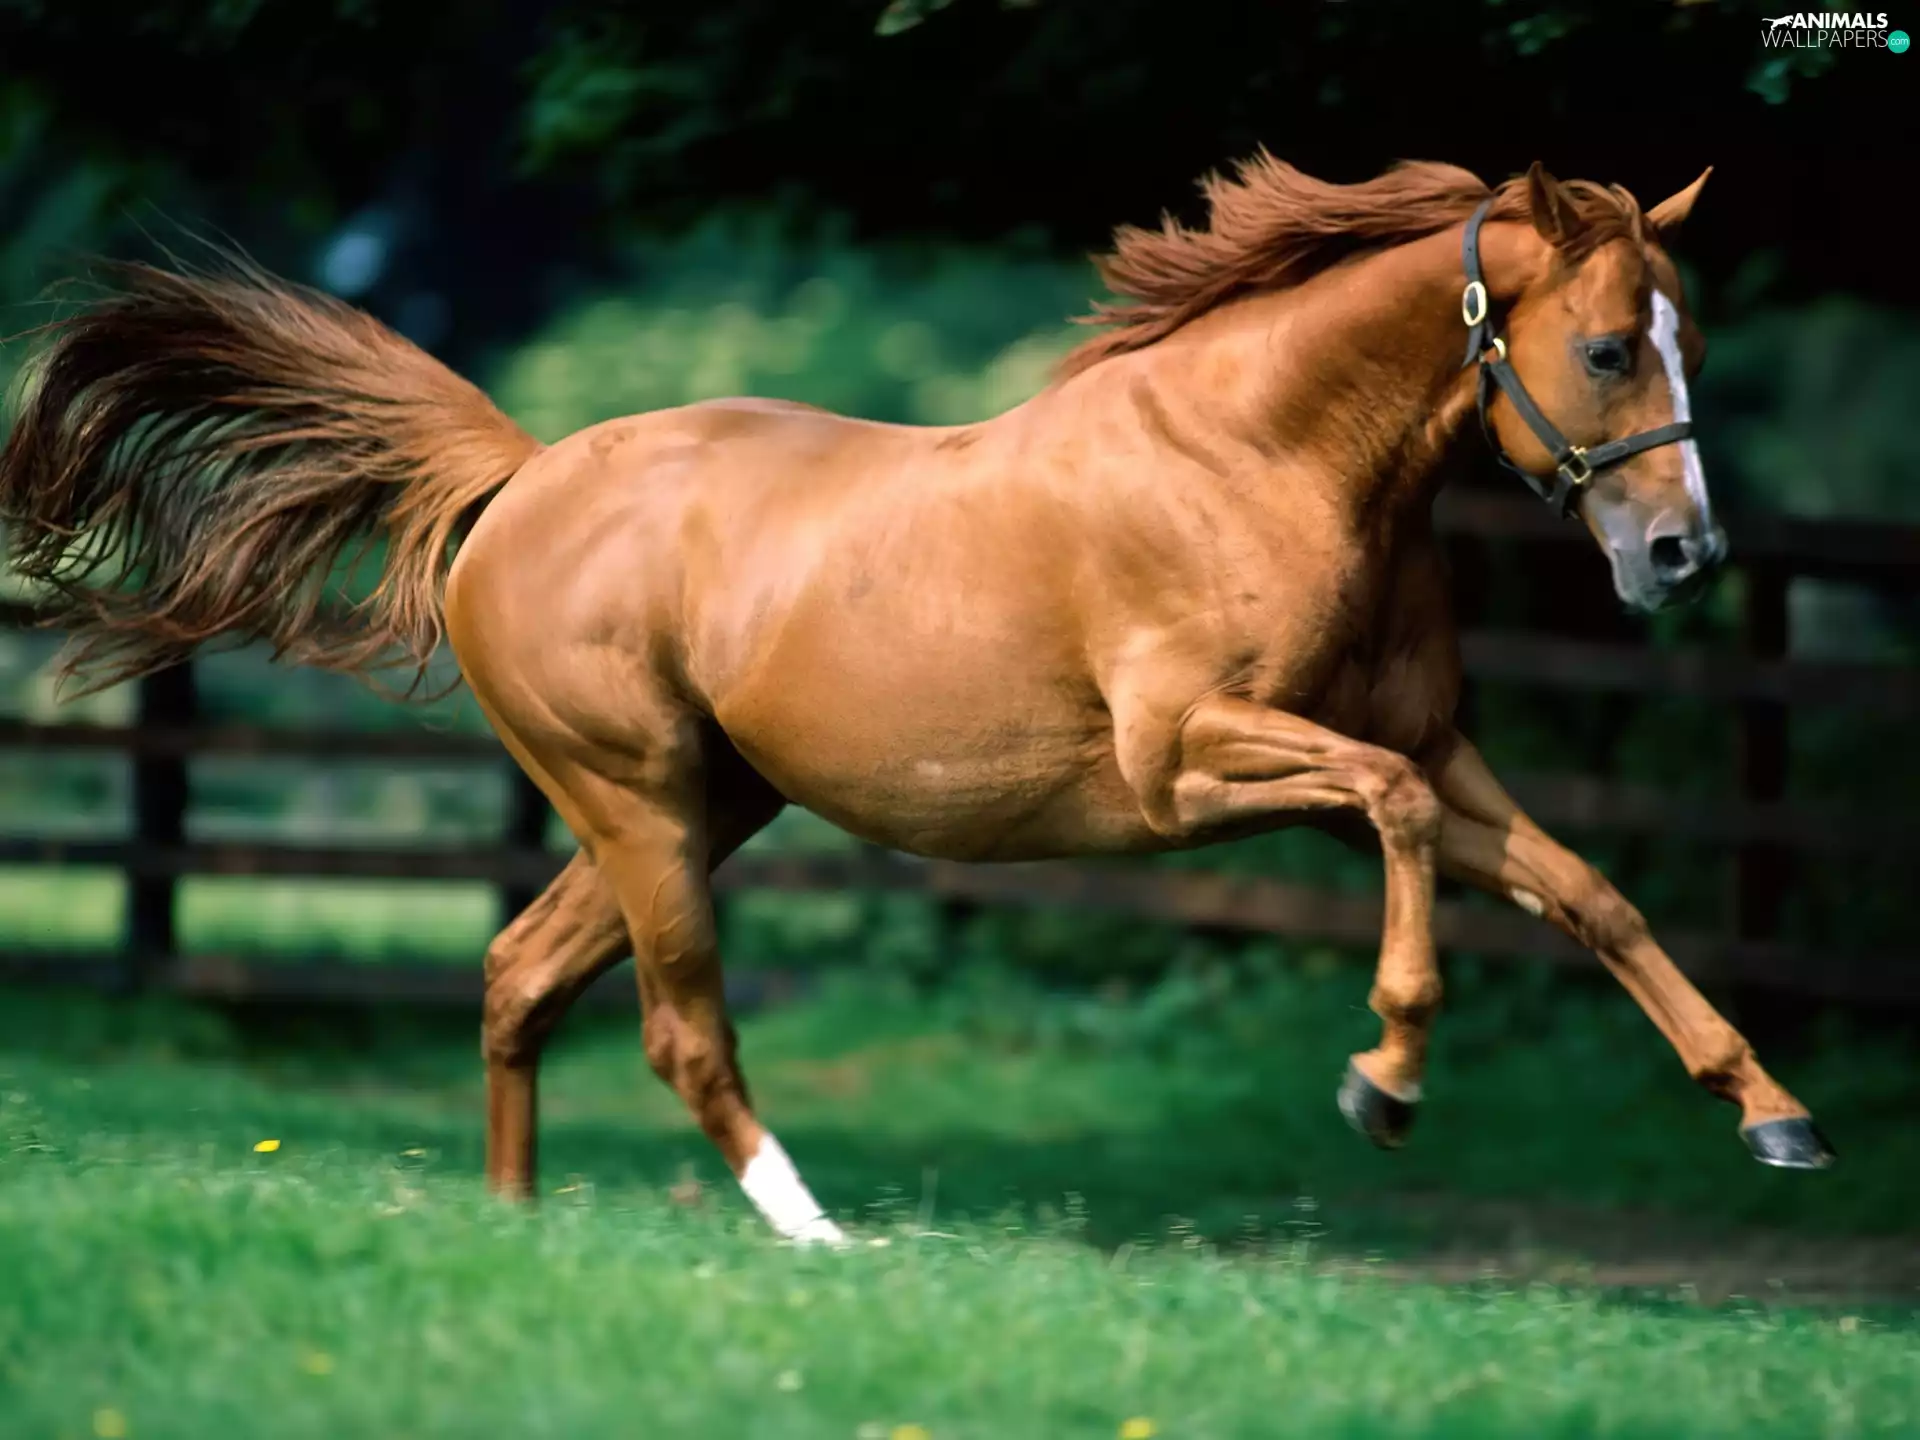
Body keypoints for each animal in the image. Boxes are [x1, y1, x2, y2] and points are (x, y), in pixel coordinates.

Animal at [0, 154, 1834, 1247]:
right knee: (678, 1027)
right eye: (1608, 348)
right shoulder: (1193, 768)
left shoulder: (1432, 748)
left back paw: (516, 1227)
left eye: (1687, 335)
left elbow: (1592, 894)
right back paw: (815, 1236)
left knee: (520, 973)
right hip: (640, 804)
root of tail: (520, 478)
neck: (1260, 461)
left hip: (703, 806)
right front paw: (1382, 1080)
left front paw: (1776, 1119)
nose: (1684, 555)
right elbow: (1393, 833)